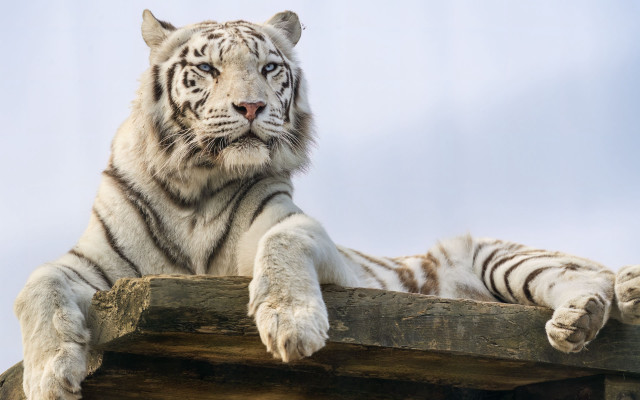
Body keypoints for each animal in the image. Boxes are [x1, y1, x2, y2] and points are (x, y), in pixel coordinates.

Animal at [13, 9, 640, 400]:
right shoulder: (93, 263)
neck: (196, 185)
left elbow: (281, 243)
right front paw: (48, 376)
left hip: (498, 256)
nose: (249, 107)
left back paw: (588, 312)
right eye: (208, 69)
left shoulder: (304, 234)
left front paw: (291, 324)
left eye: (269, 68)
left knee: (591, 277)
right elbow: (35, 286)